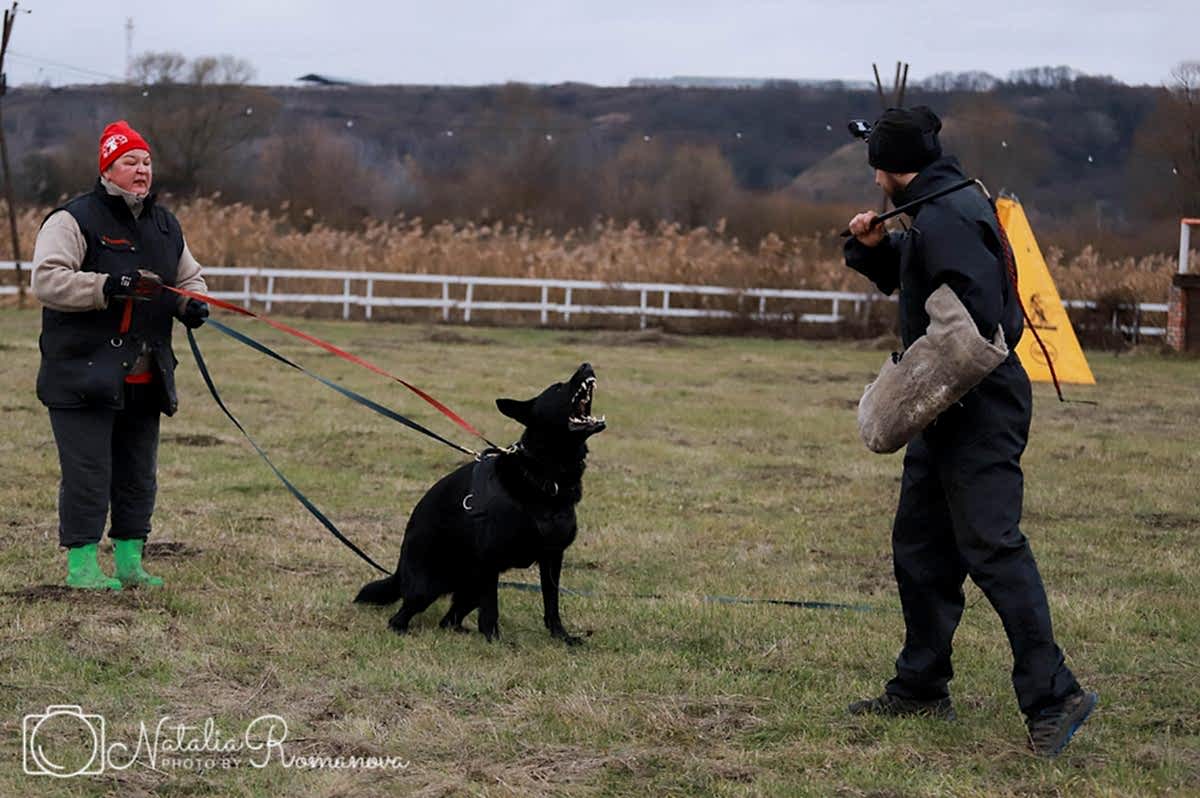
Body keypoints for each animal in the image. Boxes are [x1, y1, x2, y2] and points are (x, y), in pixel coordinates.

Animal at [355, 363, 605, 644]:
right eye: (558, 387)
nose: (586, 364)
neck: (546, 474)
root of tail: (399, 568)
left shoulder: (552, 558)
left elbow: (551, 603)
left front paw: (561, 637)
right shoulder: (490, 560)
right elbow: (491, 610)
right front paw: (495, 641)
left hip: (470, 589)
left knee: (448, 619)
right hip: (428, 587)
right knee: (401, 615)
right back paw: (402, 629)